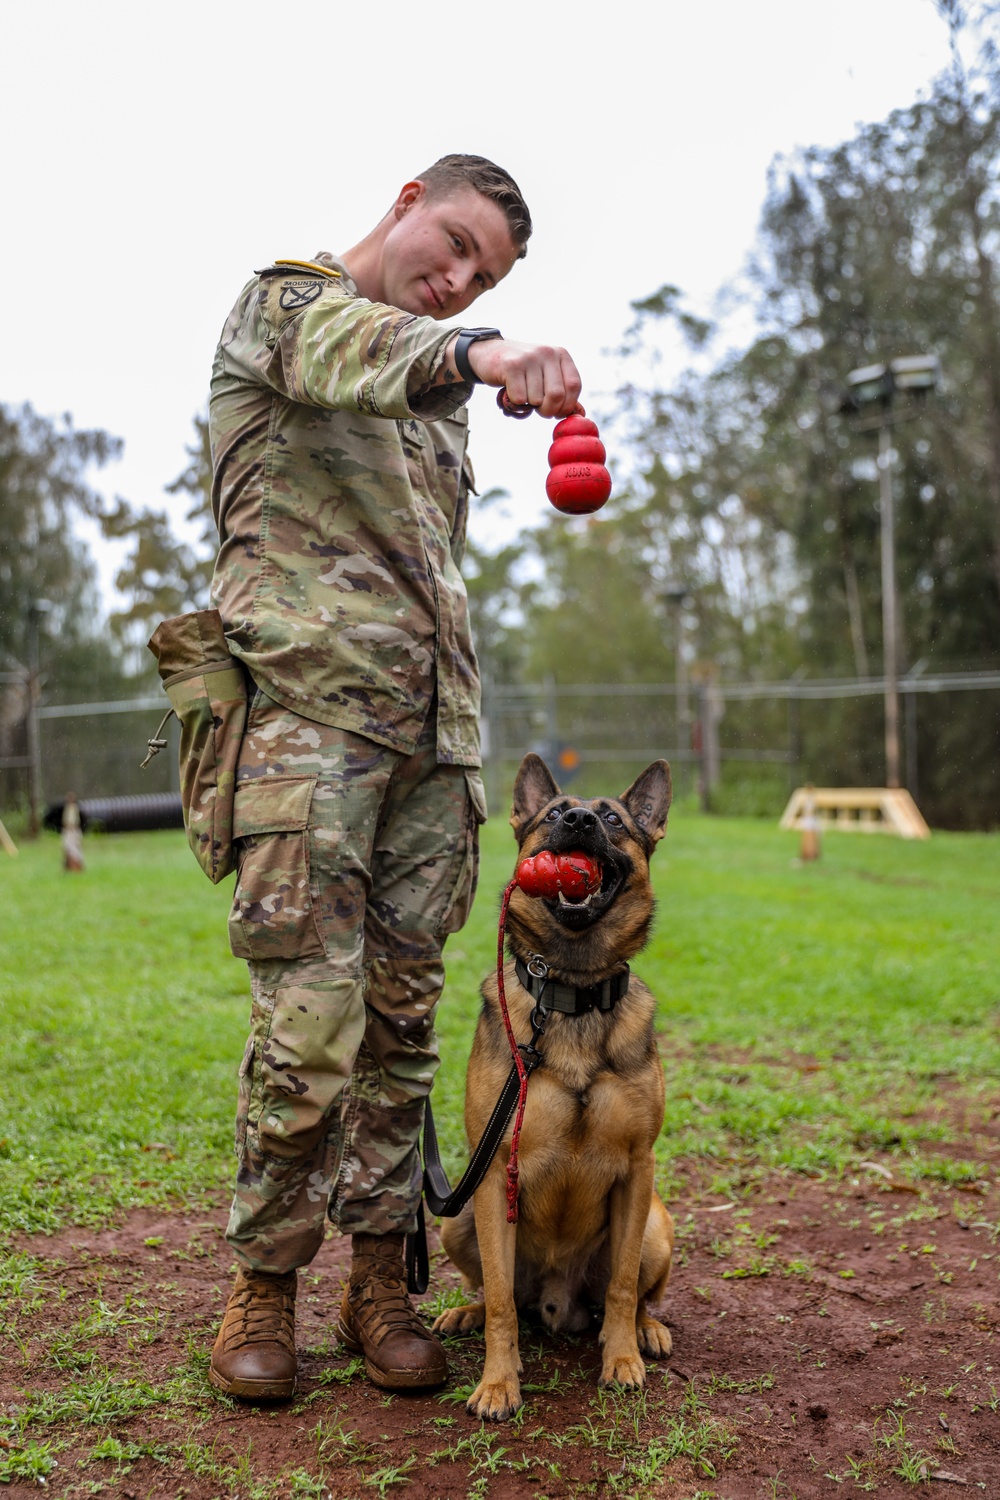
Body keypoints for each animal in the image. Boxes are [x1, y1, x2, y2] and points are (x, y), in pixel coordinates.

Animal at [434, 750, 677, 1416]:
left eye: (613, 819)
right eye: (552, 815)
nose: (578, 820)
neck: (572, 994)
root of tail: (557, 1302)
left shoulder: (638, 1168)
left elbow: (622, 1286)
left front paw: (621, 1359)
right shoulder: (493, 1173)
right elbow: (498, 1302)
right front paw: (498, 1382)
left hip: (656, 1223)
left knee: (635, 1292)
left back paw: (646, 1332)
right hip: (457, 1218)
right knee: (503, 1298)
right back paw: (464, 1314)